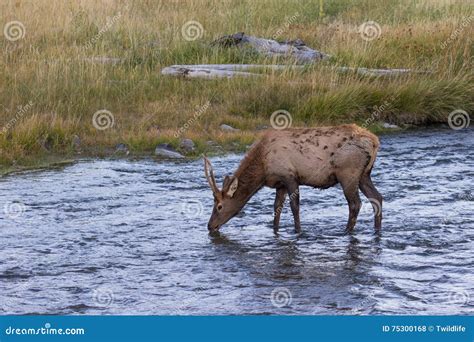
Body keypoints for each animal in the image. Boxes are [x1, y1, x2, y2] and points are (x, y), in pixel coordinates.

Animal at [203, 124, 382, 234]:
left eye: (219, 206)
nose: (210, 225)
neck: (263, 167)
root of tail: (374, 141)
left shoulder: (289, 176)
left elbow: (294, 206)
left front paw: (298, 231)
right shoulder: (280, 184)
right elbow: (277, 207)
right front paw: (275, 229)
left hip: (348, 173)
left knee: (355, 203)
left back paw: (347, 231)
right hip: (364, 174)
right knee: (377, 198)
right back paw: (377, 229)